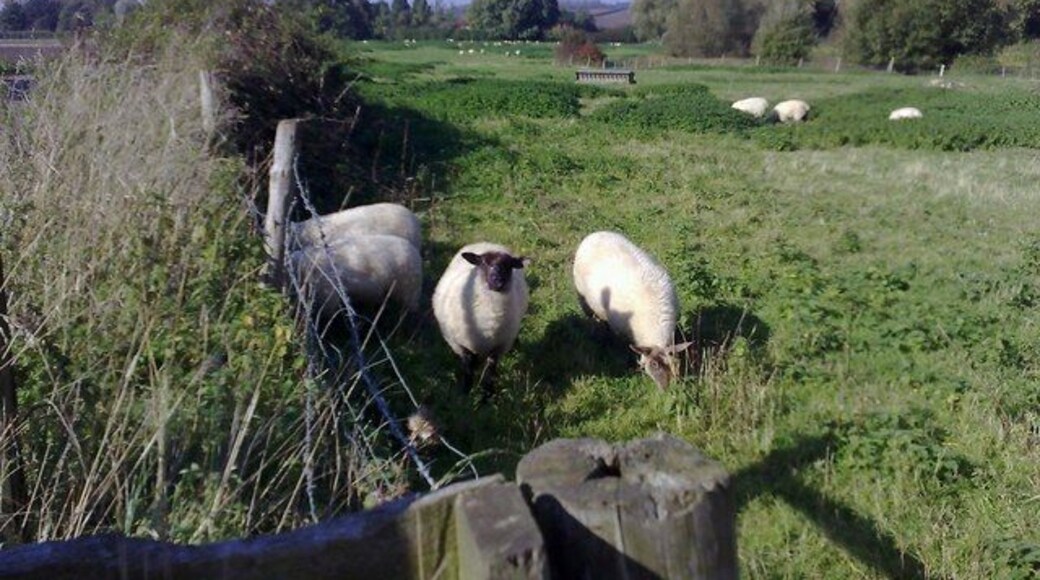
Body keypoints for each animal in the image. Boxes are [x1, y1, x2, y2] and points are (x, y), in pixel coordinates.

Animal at [432, 242, 529, 397]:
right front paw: (465, 395)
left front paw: (487, 396)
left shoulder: (498, 348)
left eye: (509, 265)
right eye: (483, 262)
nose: (498, 282)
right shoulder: (462, 346)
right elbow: (468, 371)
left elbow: (489, 374)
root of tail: (487, 243)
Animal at [572, 231, 692, 390]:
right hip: (583, 298)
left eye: (676, 363)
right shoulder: (620, 329)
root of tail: (595, 234)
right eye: (654, 364)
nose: (666, 390)